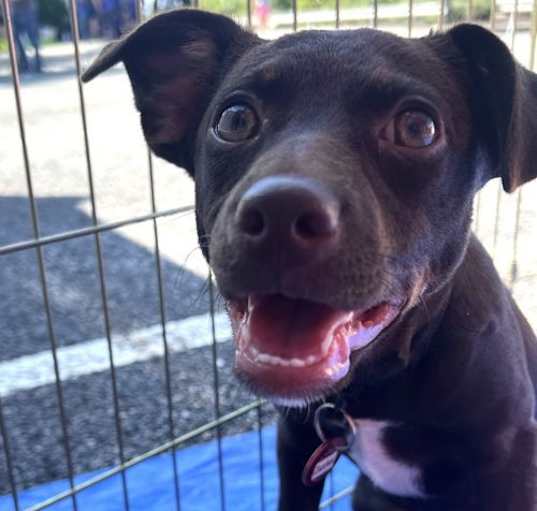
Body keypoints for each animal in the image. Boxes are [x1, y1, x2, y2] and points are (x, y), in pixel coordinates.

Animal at [82, 10, 536, 510]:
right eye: (234, 119)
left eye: (419, 128)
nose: (282, 211)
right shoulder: (295, 445)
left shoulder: (511, 466)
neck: (376, 385)